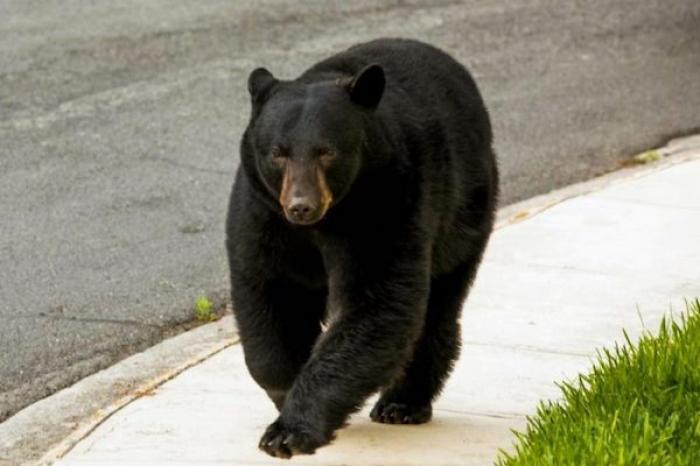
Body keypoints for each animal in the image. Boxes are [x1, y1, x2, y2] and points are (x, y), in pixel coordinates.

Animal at [226, 37, 498, 458]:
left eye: (327, 151)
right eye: (278, 152)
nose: (301, 205)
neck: (325, 222)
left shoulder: (387, 201)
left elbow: (377, 304)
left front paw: (290, 430)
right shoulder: (263, 213)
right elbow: (272, 295)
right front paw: (285, 393)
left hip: (465, 212)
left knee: (438, 306)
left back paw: (403, 403)